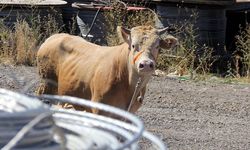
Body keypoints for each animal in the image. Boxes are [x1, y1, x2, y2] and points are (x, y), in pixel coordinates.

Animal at [37, 25, 178, 114]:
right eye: (133, 45)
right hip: (47, 83)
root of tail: (54, 37)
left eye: (157, 46)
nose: (147, 64)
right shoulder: (98, 108)